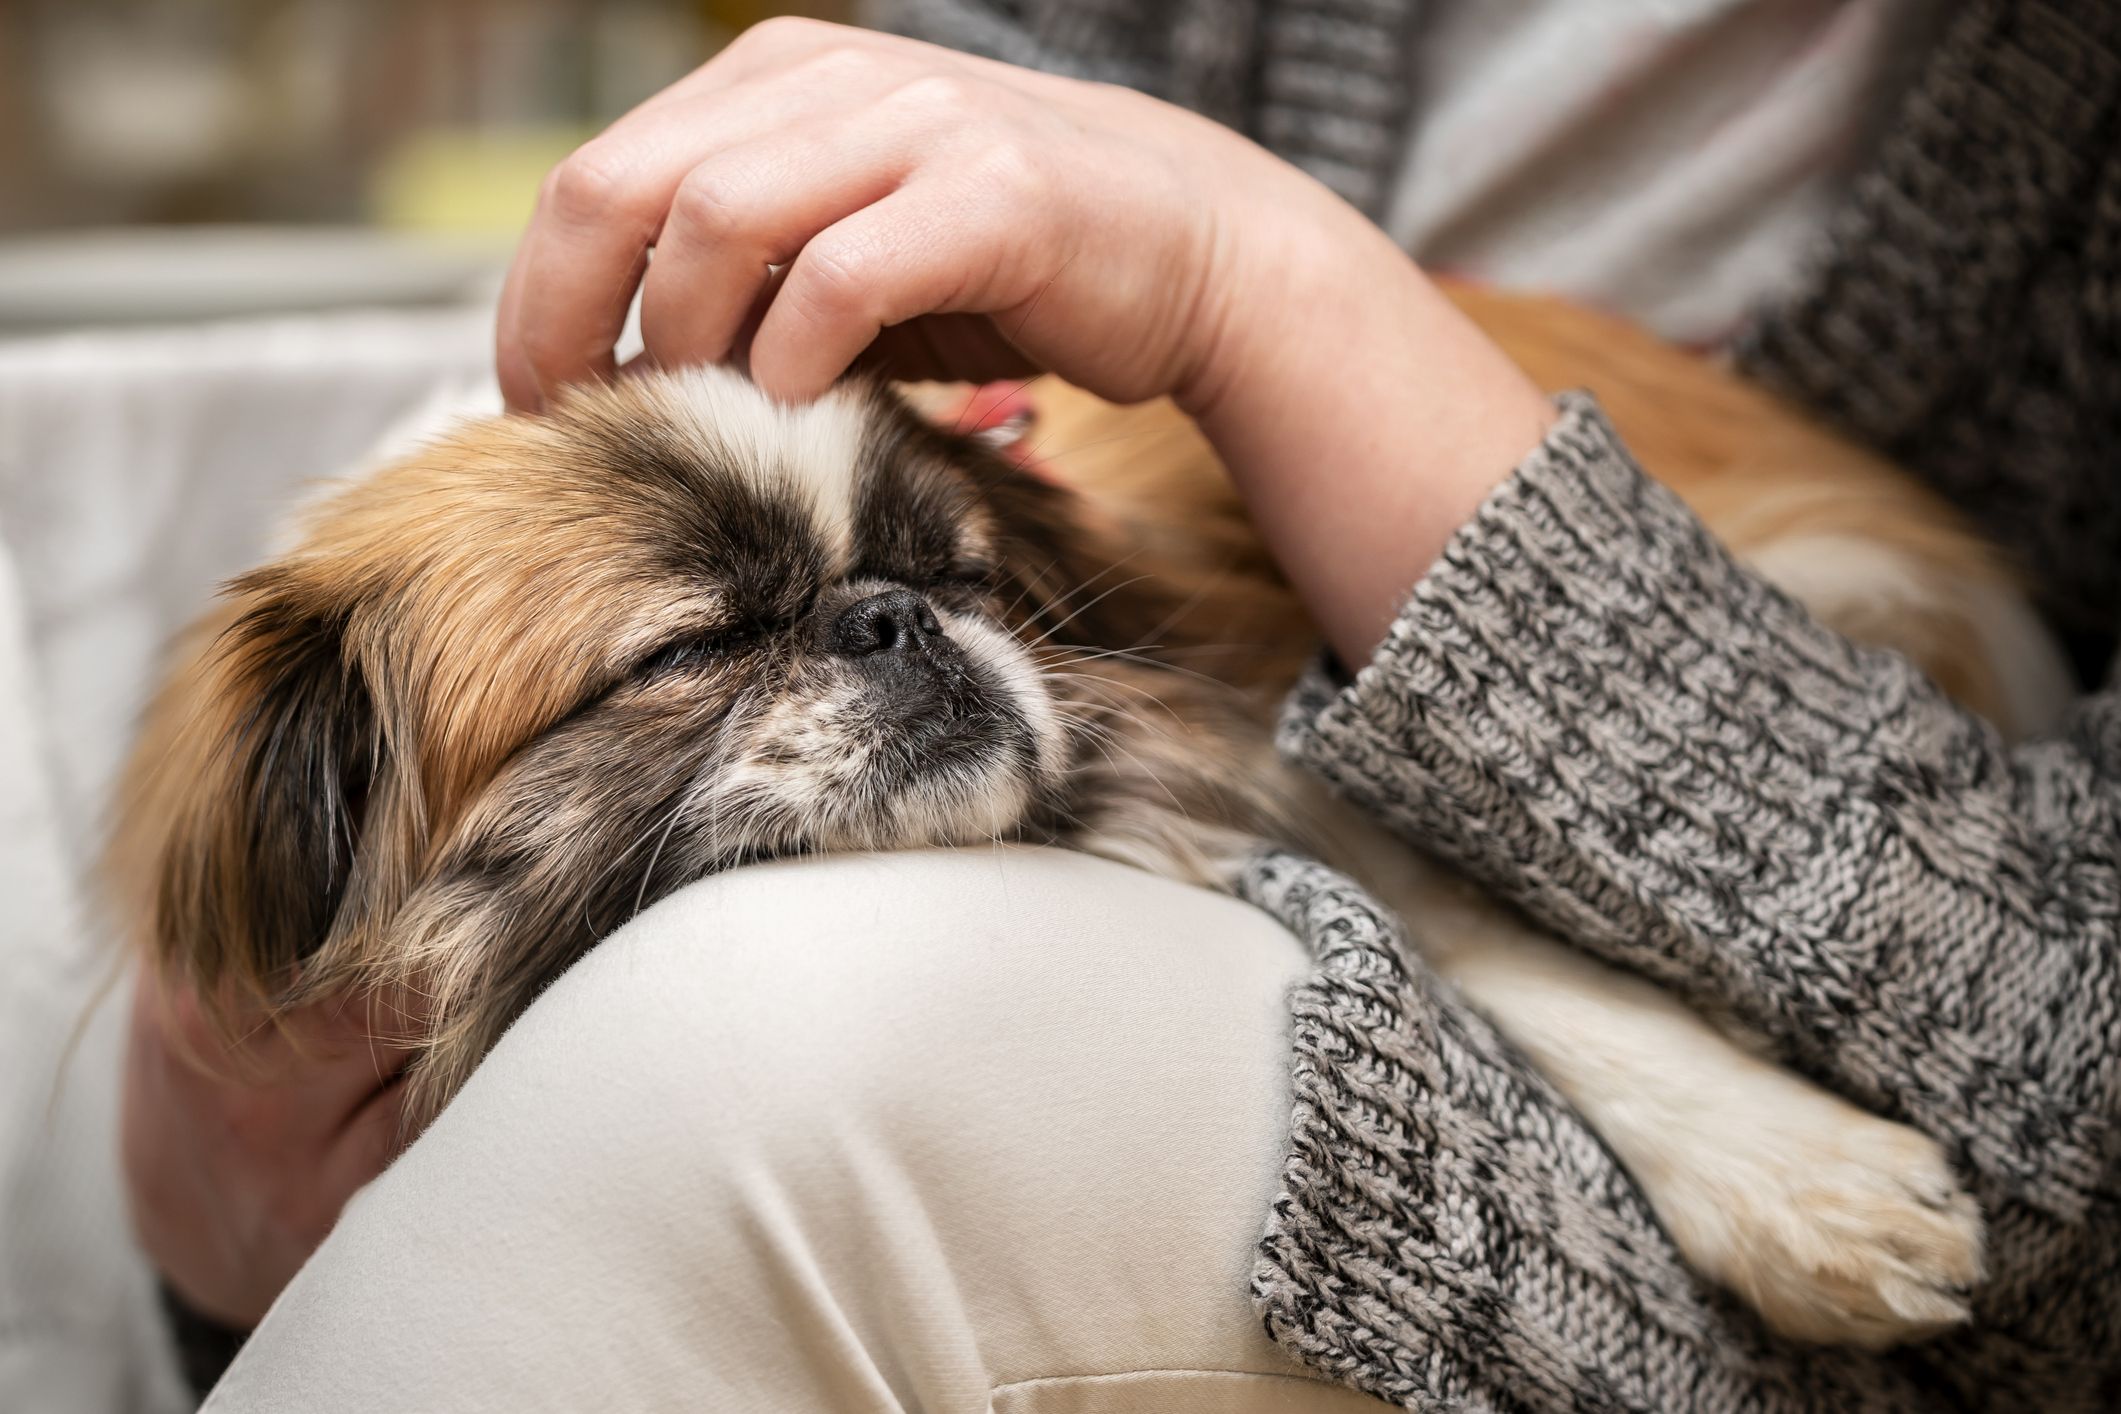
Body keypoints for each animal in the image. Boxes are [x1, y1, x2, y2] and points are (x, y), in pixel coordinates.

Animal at [107, 284, 2061, 1348]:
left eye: (955, 572)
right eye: (692, 646)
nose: (894, 618)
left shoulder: (1274, 755)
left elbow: (1491, 939)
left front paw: (1797, 1179)